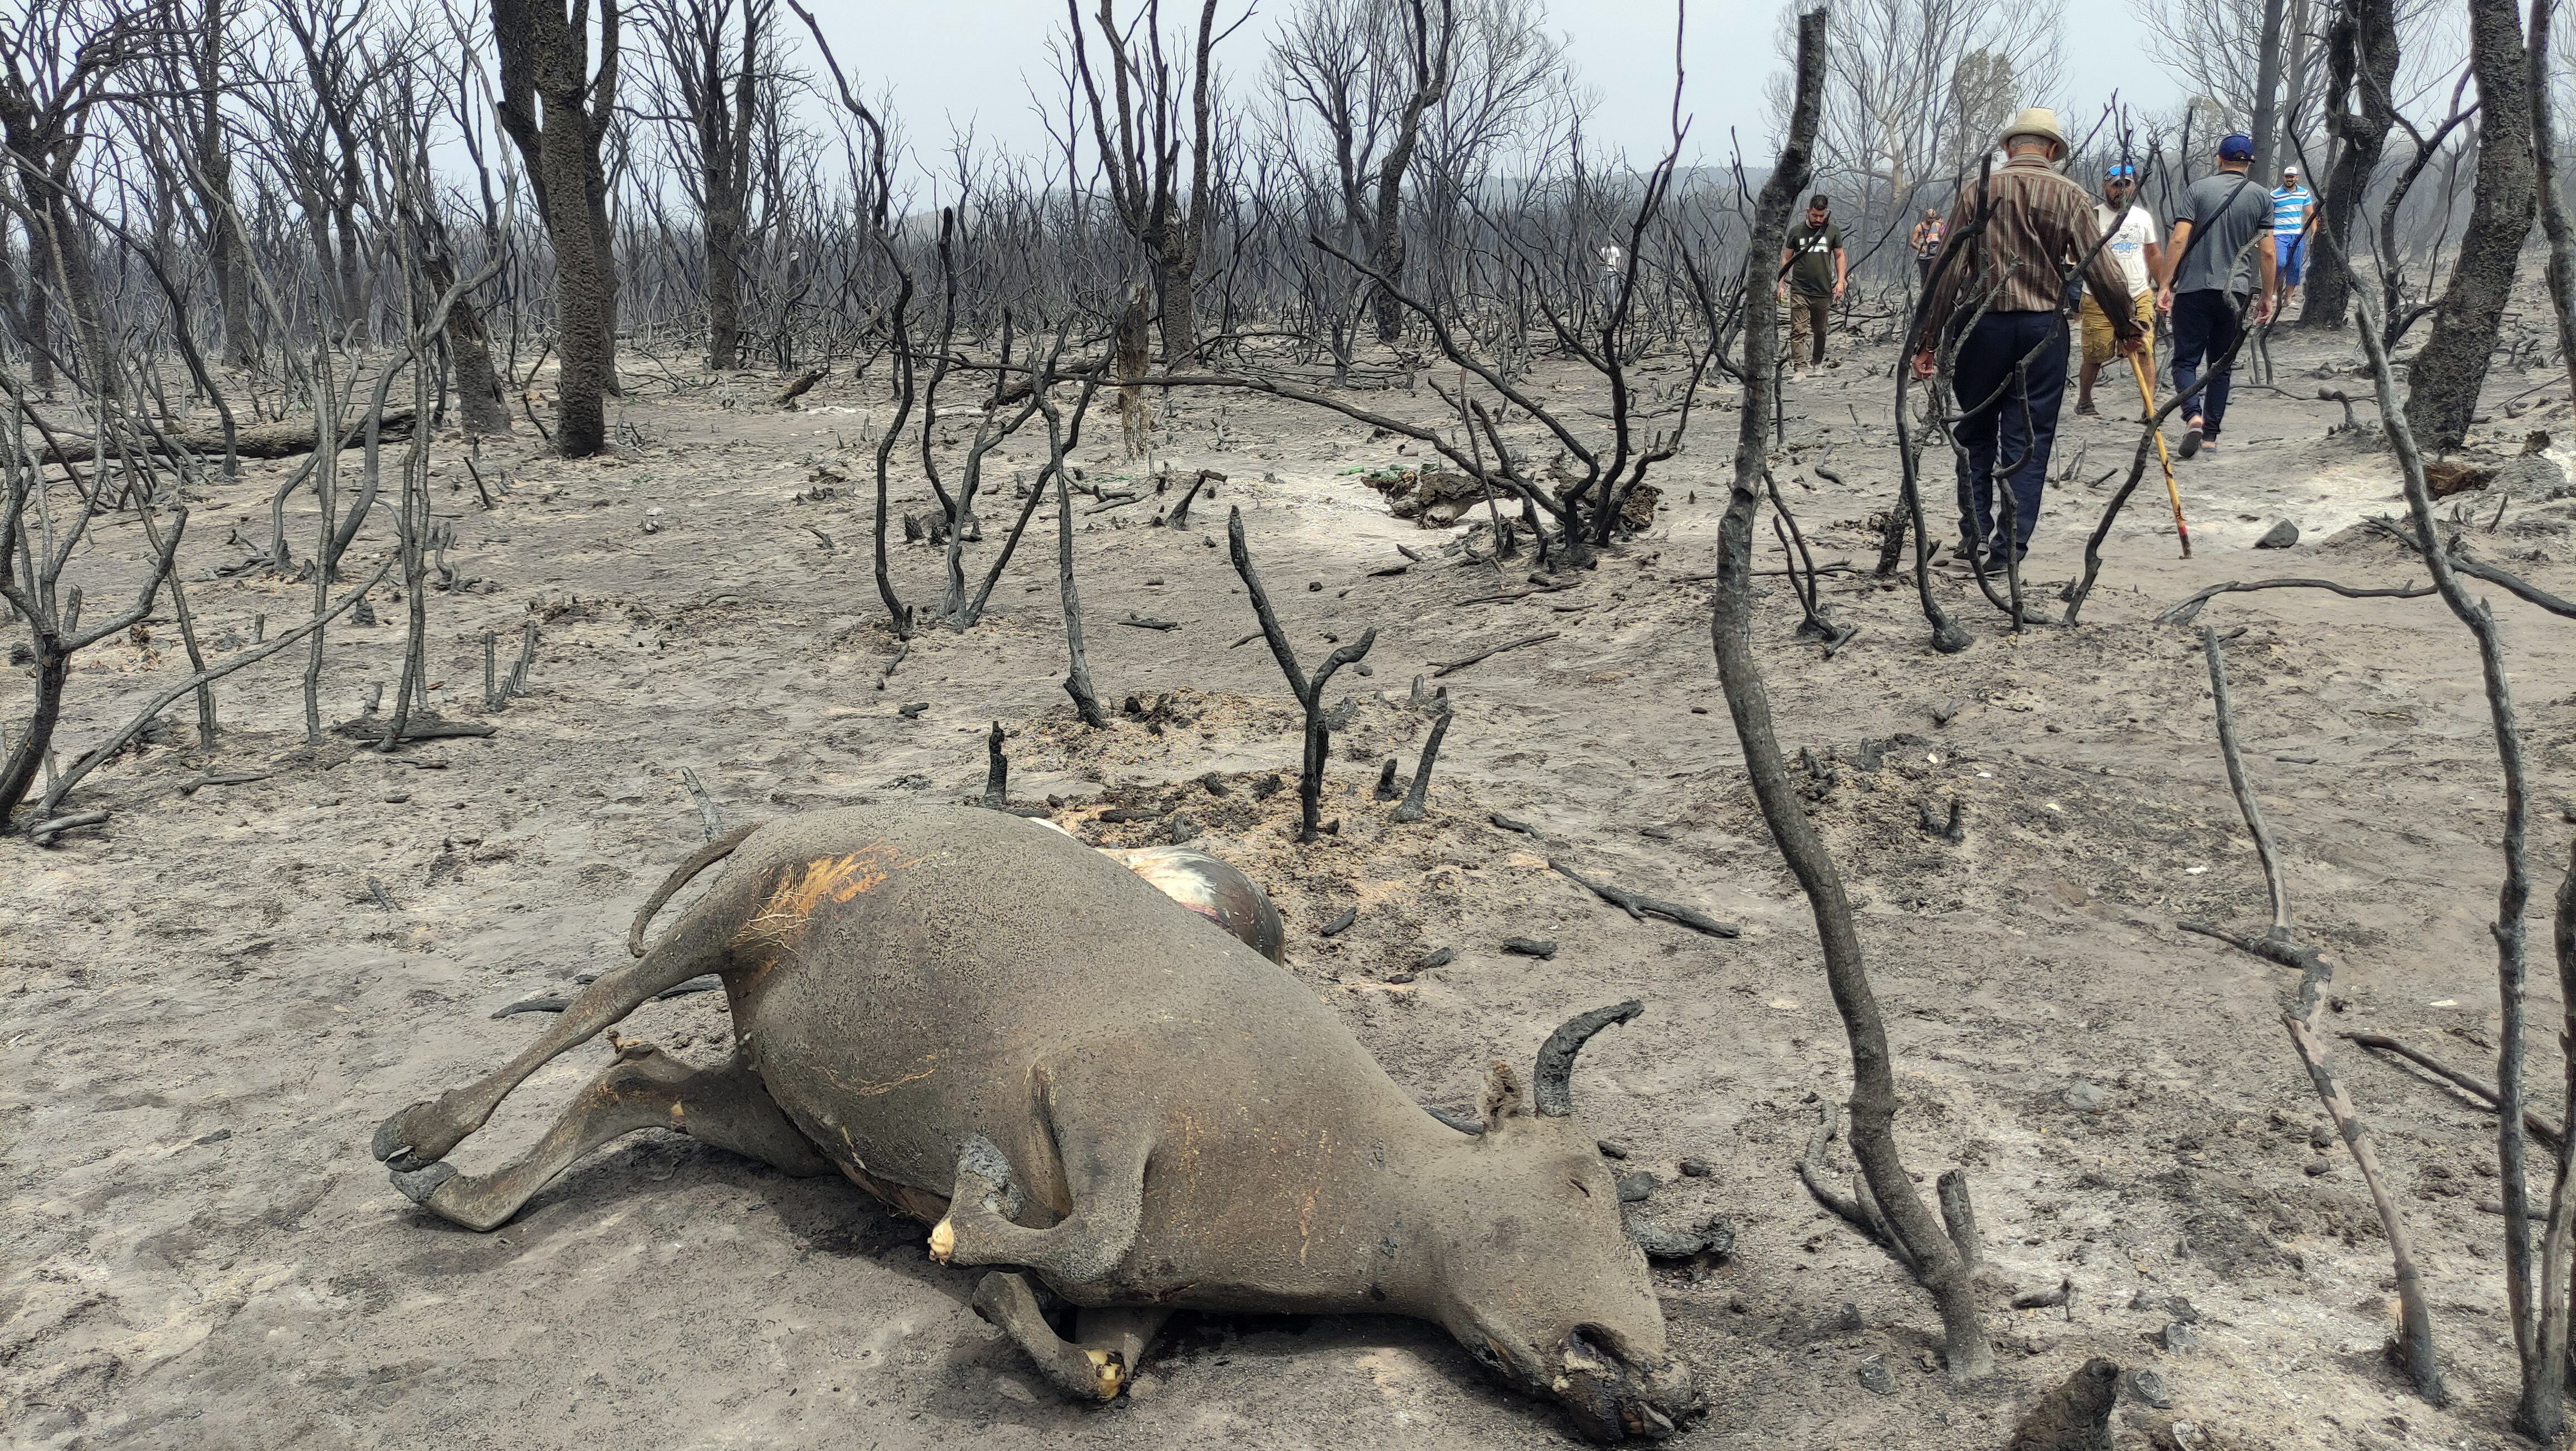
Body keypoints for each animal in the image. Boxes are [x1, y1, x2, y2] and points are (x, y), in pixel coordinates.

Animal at [373, 804, 1700, 1443]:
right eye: (1581, 1184)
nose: (1674, 1387)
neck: (1373, 1179)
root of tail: (792, 820)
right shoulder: (1104, 1095)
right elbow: (1081, 1227)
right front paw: (971, 1222)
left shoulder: (1151, 1292)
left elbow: (1099, 1363)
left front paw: (1006, 1296)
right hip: (733, 915)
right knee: (595, 1007)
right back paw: (420, 1136)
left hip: (782, 1109)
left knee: (634, 1082)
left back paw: (471, 1197)